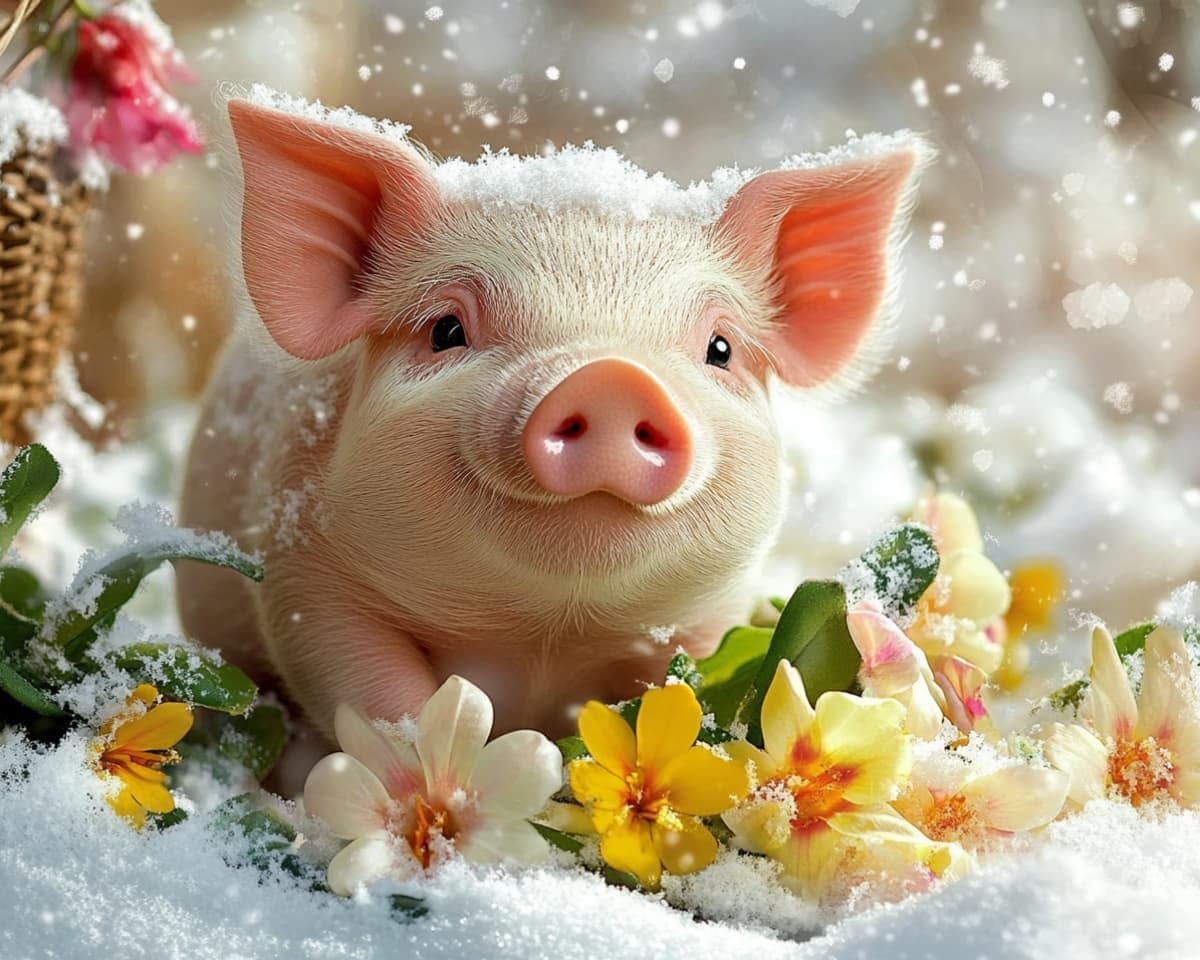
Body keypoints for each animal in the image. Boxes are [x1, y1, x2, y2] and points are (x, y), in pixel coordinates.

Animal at [177, 92, 931, 743]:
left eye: (720, 348)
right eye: (446, 330)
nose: (612, 377)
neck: (545, 634)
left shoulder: (708, 616)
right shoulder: (301, 563)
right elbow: (371, 687)